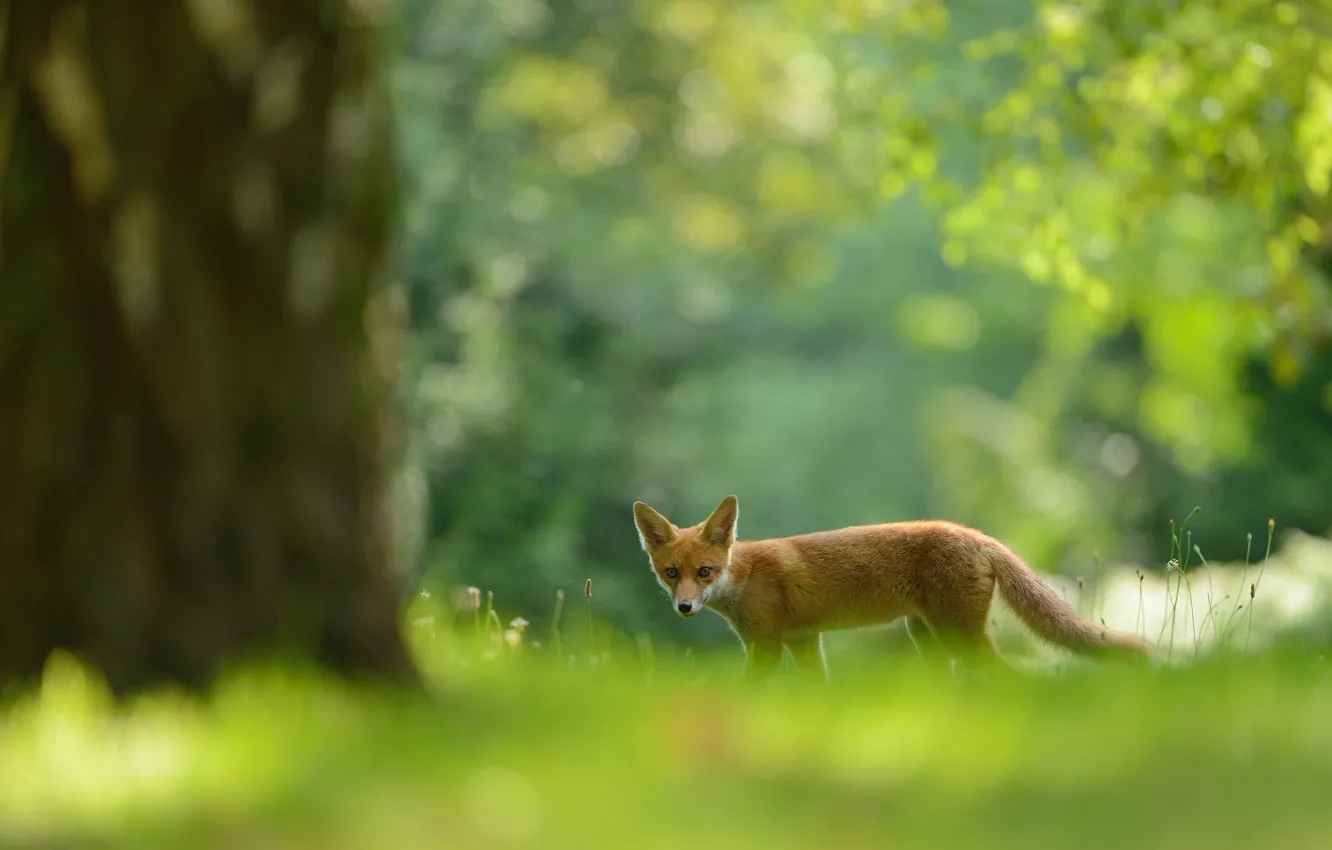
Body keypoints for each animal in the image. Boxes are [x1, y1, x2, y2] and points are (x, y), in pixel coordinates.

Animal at [632, 494, 1149, 680]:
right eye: (670, 573)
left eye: (704, 572)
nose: (684, 607)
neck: (742, 578)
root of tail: (973, 534)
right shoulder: (804, 641)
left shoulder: (767, 648)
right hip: (928, 639)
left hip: (956, 635)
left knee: (1008, 677)